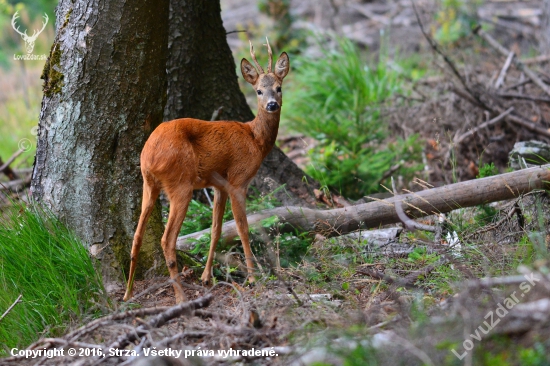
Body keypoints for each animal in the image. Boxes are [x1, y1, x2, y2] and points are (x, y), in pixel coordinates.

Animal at [123, 39, 292, 304]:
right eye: (258, 91)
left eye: (279, 88)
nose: (272, 105)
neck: (255, 140)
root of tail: (148, 155)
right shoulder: (238, 180)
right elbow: (243, 228)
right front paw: (253, 278)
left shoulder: (218, 185)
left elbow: (216, 230)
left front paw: (206, 277)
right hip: (180, 183)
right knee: (167, 239)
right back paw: (181, 297)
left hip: (148, 184)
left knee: (137, 236)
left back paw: (128, 294)